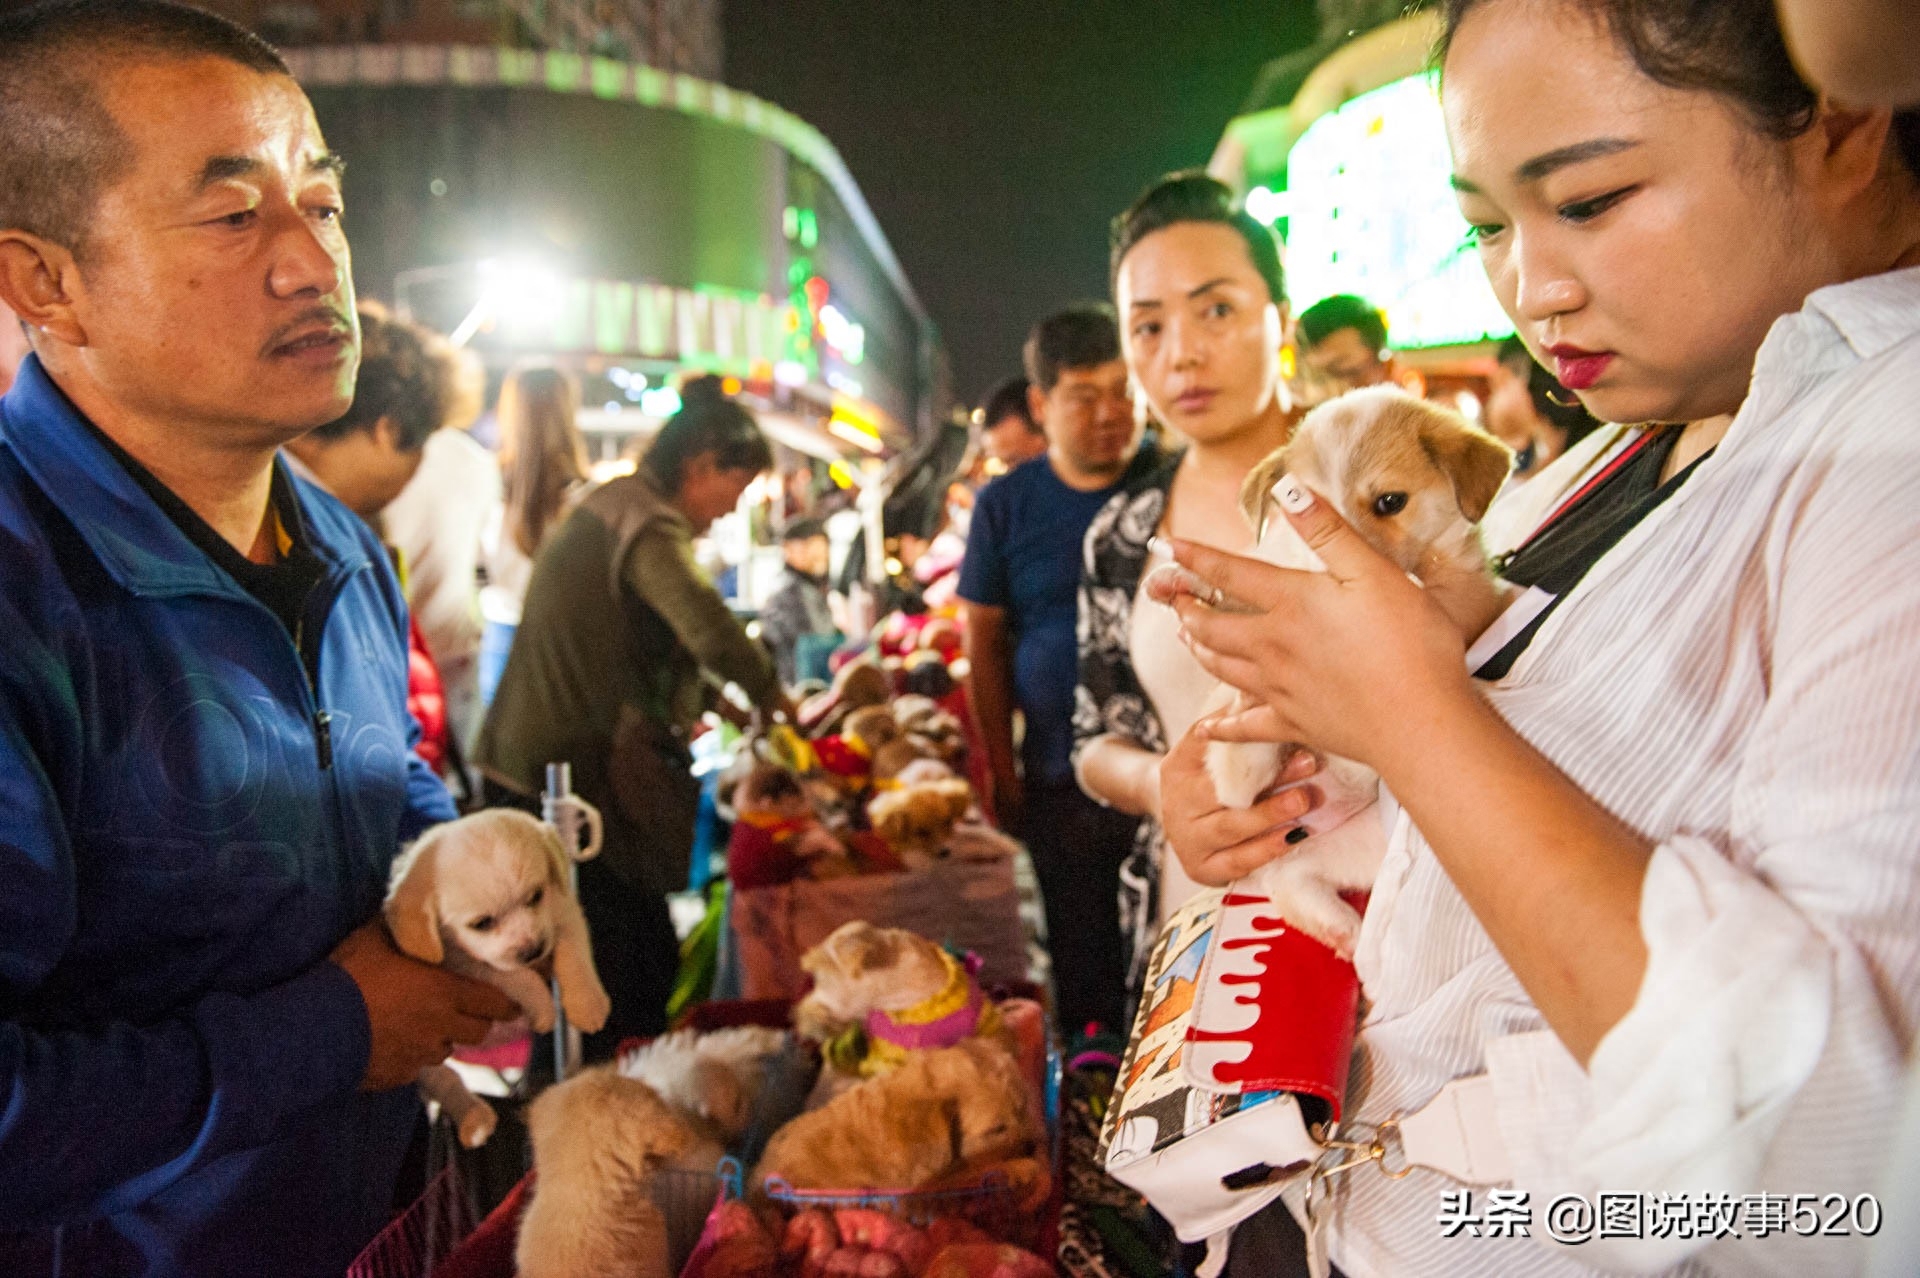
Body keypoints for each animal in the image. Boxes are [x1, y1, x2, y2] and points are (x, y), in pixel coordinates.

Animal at [380, 809, 606, 1151]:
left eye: (535, 896)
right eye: (482, 923)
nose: (533, 950)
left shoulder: (564, 911)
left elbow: (573, 952)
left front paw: (588, 1004)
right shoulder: (463, 964)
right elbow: (511, 973)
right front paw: (542, 1006)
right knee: (446, 1079)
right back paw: (474, 1119)